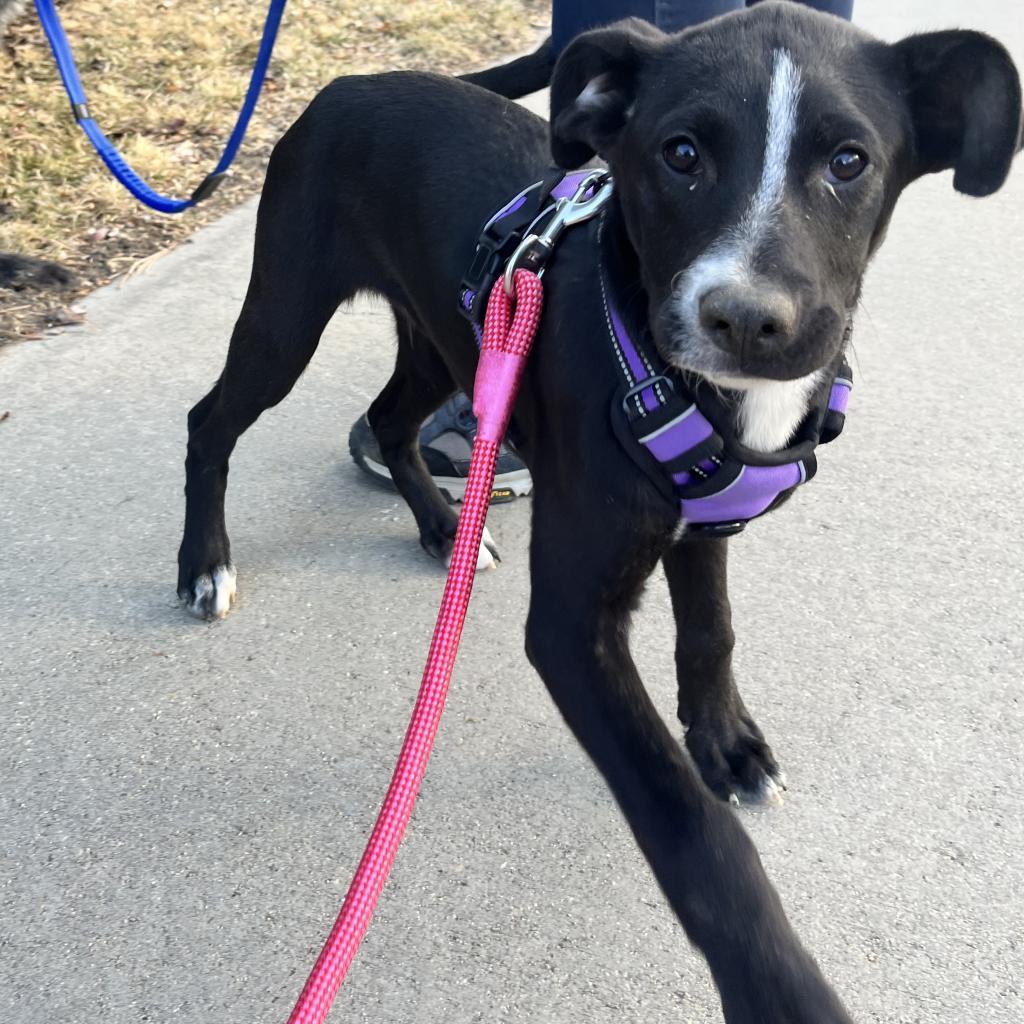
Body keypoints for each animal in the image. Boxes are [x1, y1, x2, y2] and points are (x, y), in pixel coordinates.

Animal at [176, 4, 1015, 1019]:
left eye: (849, 161)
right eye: (680, 152)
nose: (745, 320)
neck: (667, 375)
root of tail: (349, 82)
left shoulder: (706, 521)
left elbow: (712, 633)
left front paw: (726, 745)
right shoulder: (572, 628)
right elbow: (686, 825)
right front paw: (776, 982)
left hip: (444, 343)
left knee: (389, 418)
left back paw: (442, 529)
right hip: (287, 313)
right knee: (212, 421)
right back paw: (204, 563)